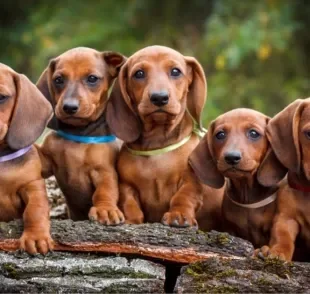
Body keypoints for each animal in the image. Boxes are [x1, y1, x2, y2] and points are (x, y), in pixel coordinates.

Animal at [36, 47, 127, 224]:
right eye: (58, 79)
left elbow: (105, 189)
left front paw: (105, 209)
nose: (69, 107)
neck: (78, 133)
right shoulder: (47, 162)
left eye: (92, 78)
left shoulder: (104, 170)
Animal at [106, 45, 220, 227]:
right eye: (139, 73)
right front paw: (131, 220)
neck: (157, 145)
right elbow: (129, 203)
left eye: (175, 71)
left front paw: (179, 215)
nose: (159, 98)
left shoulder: (191, 181)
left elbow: (183, 197)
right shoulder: (126, 185)